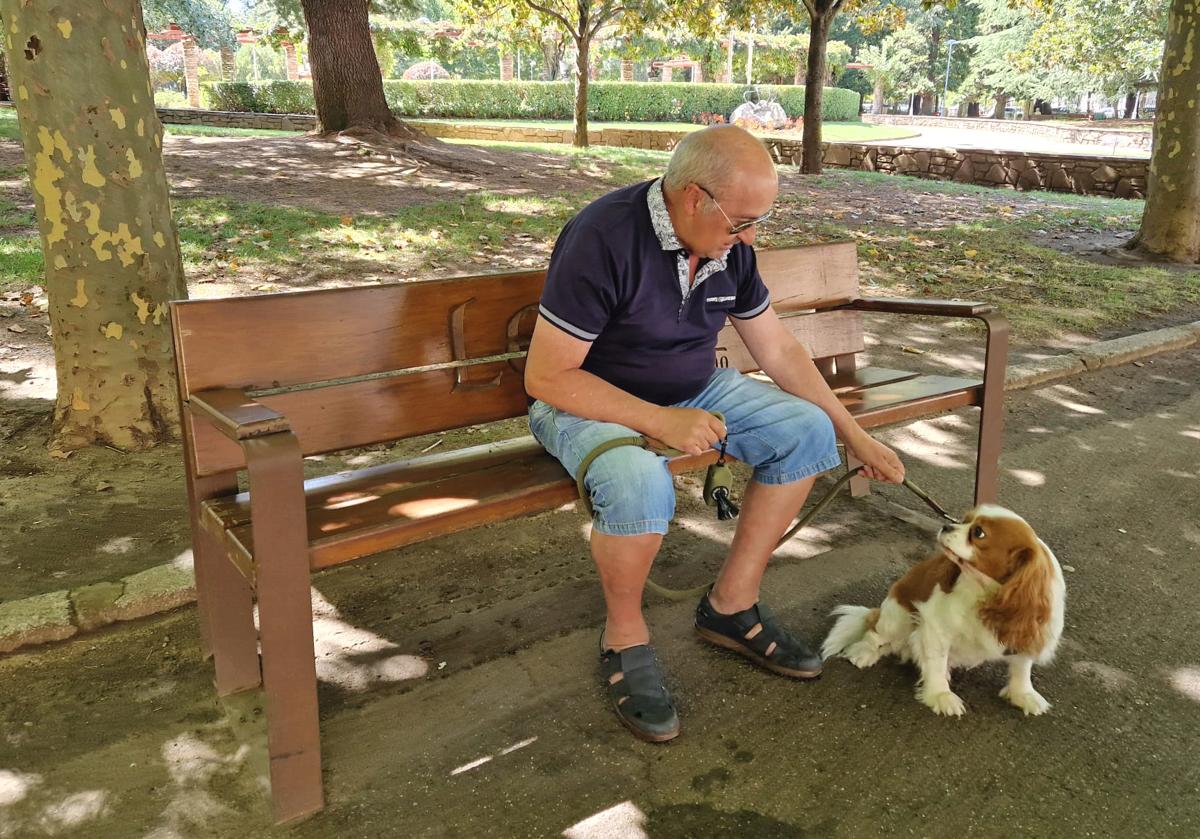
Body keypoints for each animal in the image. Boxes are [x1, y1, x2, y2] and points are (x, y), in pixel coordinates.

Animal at [820, 506, 1065, 715]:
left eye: (978, 532)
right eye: (964, 520)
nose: (947, 526)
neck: (985, 591)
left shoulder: (1026, 630)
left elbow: (1022, 666)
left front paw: (1023, 694)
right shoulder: (935, 626)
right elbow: (935, 662)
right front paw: (940, 694)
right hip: (897, 616)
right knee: (876, 634)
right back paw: (864, 652)